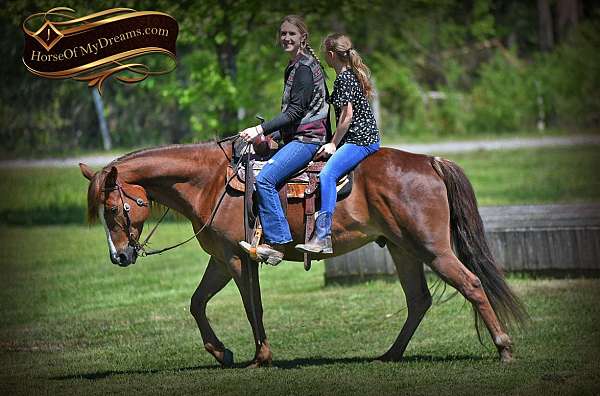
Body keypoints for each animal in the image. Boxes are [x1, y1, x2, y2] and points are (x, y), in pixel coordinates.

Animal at [78, 142, 524, 368]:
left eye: (114, 209)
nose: (120, 257)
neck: (210, 183)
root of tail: (429, 161)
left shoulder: (239, 260)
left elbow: (252, 307)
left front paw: (261, 357)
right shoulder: (220, 258)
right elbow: (197, 303)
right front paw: (222, 352)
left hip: (432, 248)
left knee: (471, 284)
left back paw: (503, 348)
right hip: (402, 248)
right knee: (418, 300)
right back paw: (390, 355)